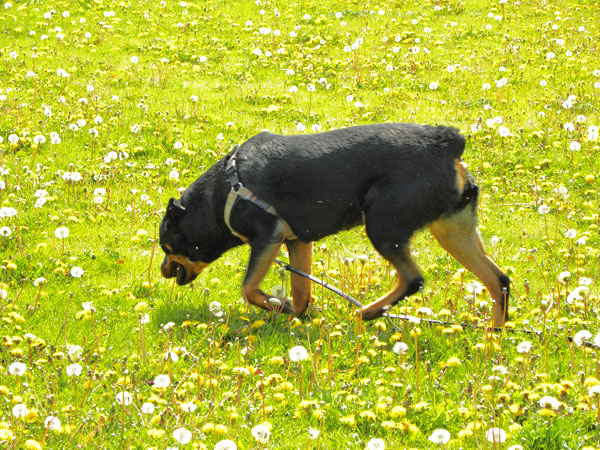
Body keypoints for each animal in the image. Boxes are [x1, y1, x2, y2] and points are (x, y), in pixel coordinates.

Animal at [157, 123, 508, 326]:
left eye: (166, 246)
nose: (162, 269)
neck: (223, 194)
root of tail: (446, 141)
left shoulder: (268, 236)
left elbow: (249, 289)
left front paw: (276, 305)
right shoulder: (296, 241)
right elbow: (301, 293)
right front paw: (292, 311)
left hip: (383, 226)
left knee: (413, 279)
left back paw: (367, 312)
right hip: (453, 230)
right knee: (499, 280)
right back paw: (494, 333)